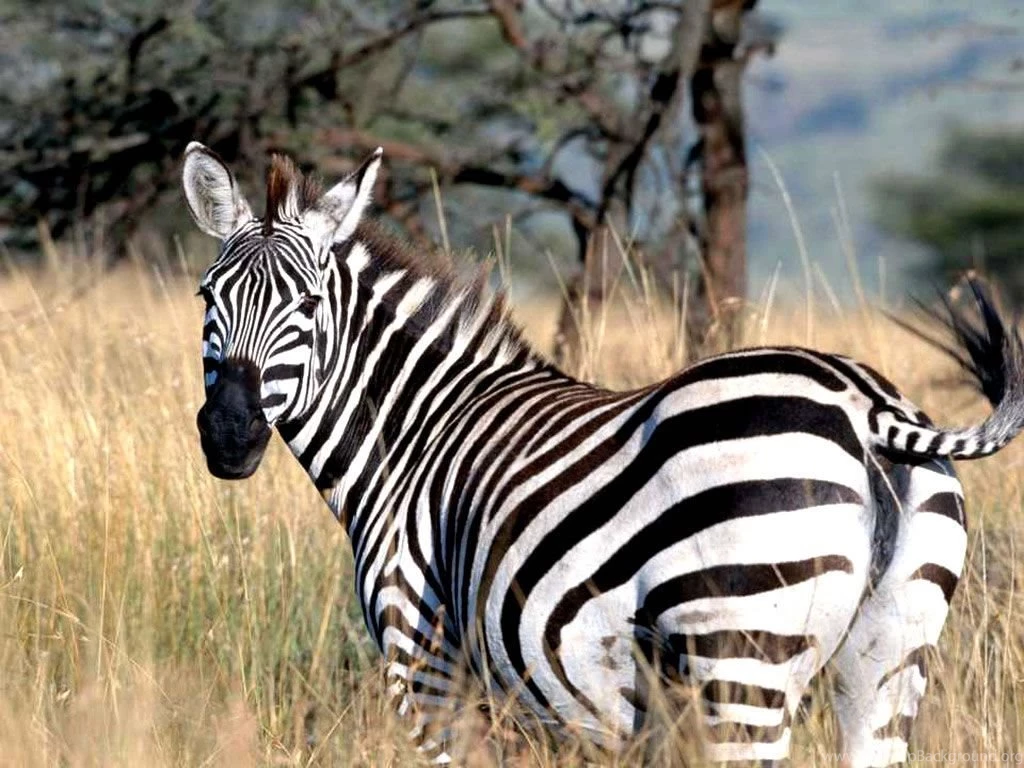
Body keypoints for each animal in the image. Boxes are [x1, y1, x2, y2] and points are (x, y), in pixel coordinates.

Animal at [181, 141, 1024, 766]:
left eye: (307, 304)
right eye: (207, 298)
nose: (230, 433)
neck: (413, 433)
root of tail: (864, 405)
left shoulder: (427, 666)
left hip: (740, 658)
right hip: (888, 658)